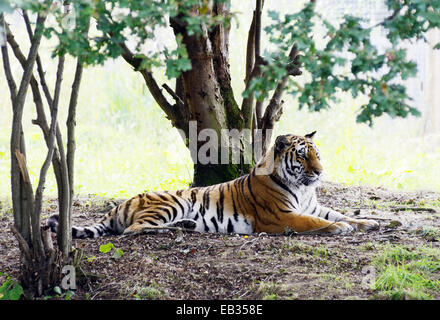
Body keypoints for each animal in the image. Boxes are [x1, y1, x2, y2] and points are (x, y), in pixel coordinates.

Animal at [47, 130, 378, 238]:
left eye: (317, 155)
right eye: (302, 156)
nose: (320, 173)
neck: (301, 187)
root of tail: (119, 205)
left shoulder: (314, 206)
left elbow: (338, 213)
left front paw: (371, 222)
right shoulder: (280, 216)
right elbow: (315, 222)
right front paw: (340, 228)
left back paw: (188, 226)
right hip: (171, 202)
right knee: (133, 230)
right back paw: (175, 229)